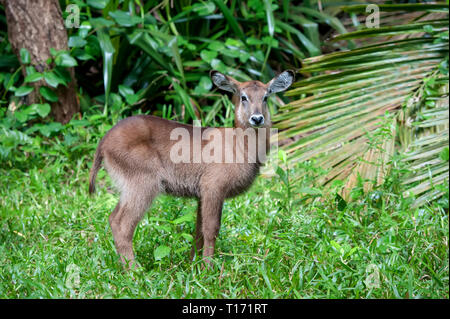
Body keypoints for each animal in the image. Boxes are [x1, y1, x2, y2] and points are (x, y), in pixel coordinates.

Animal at [89, 70, 296, 270]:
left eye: (266, 97)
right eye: (243, 97)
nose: (257, 118)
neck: (240, 146)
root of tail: (103, 142)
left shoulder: (201, 194)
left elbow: (198, 231)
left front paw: (193, 266)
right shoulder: (213, 187)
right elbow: (211, 229)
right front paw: (207, 269)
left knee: (113, 217)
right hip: (143, 183)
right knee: (121, 224)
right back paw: (134, 272)